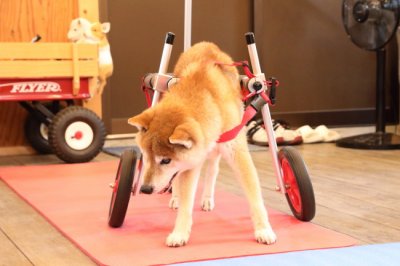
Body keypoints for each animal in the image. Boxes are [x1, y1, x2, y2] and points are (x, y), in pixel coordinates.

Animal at [128, 42, 276, 247]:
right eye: (145, 156)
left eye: (165, 160)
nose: (145, 189)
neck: (209, 100)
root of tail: (206, 44)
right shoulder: (191, 163)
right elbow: (185, 202)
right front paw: (180, 232)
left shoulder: (236, 152)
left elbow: (255, 197)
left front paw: (264, 229)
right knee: (178, 181)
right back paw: (175, 198)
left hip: (214, 151)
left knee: (212, 170)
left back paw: (207, 198)